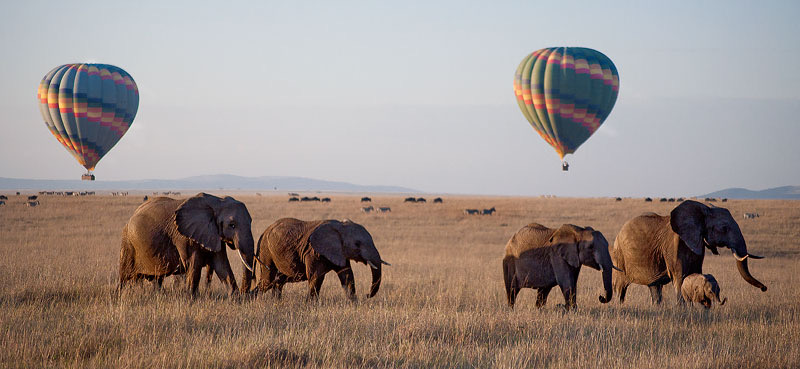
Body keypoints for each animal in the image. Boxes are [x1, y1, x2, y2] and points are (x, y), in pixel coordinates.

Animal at [118, 193, 256, 296]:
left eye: (251, 222)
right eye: (232, 225)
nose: (244, 293)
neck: (217, 201)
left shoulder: (214, 234)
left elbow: (221, 264)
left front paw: (235, 298)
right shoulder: (184, 236)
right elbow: (193, 265)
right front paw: (191, 299)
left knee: (157, 278)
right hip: (128, 243)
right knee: (124, 276)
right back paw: (119, 295)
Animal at [245, 218, 392, 300]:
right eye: (357, 244)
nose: (366, 295)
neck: (340, 227)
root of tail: (263, 233)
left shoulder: (339, 251)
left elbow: (347, 276)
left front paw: (353, 303)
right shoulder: (313, 252)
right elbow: (316, 278)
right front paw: (310, 305)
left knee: (277, 281)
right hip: (266, 251)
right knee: (268, 280)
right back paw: (250, 299)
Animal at [612, 200, 768, 304]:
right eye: (724, 228)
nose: (764, 288)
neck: (702, 211)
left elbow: (695, 274)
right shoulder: (673, 247)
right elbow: (680, 278)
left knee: (655, 288)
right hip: (619, 257)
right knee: (620, 288)